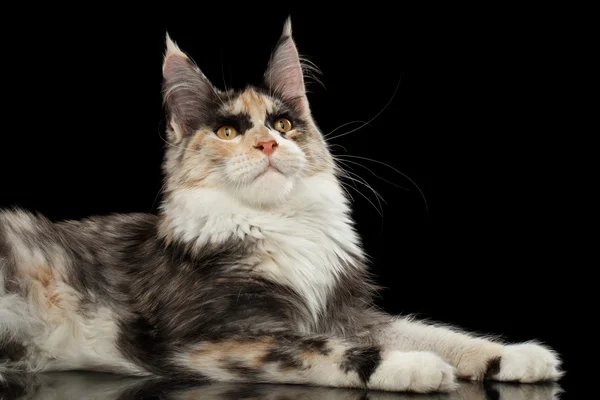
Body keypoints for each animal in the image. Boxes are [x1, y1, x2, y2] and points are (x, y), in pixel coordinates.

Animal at [0, 17, 564, 392]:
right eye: (228, 132)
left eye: (284, 124)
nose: (268, 145)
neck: (278, 226)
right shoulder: (214, 338)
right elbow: (320, 349)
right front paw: (410, 367)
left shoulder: (346, 311)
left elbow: (434, 331)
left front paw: (515, 357)